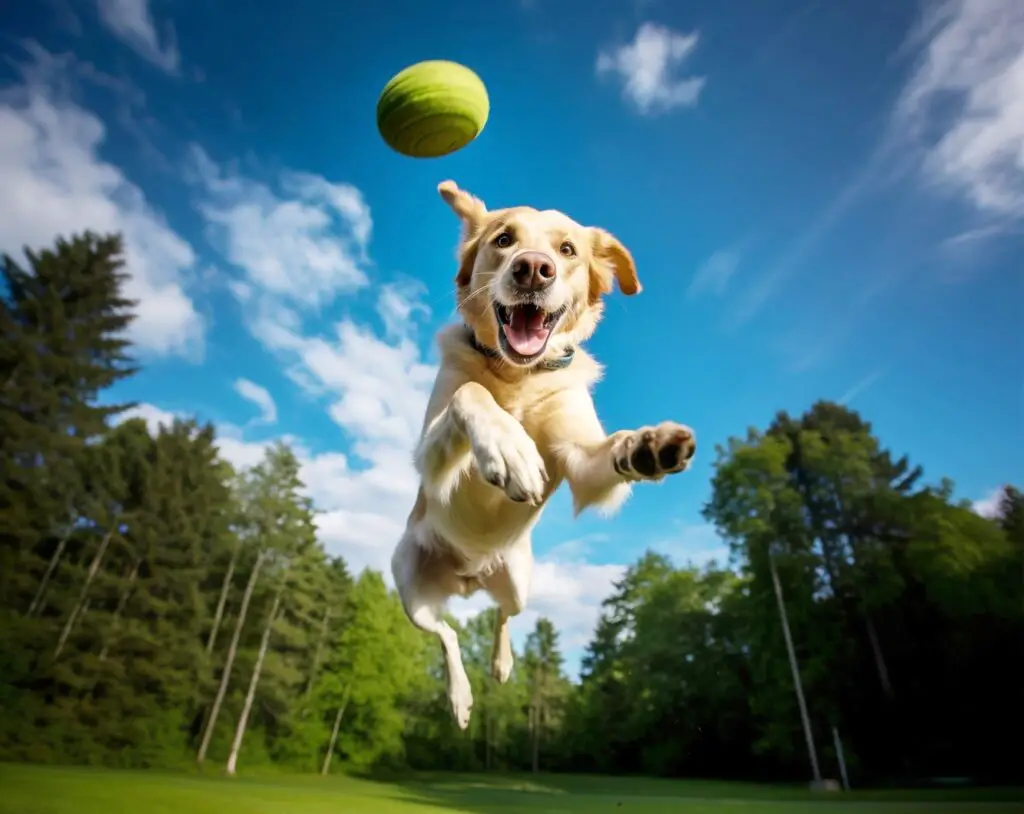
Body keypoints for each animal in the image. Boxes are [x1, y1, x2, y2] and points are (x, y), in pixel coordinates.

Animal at [391, 181, 696, 729]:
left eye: (567, 250)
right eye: (503, 239)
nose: (533, 268)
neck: (518, 375)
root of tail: (468, 577)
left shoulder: (582, 462)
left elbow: (606, 452)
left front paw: (644, 446)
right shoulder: (430, 460)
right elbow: (471, 393)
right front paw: (508, 446)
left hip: (518, 581)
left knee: (502, 616)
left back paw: (501, 664)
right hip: (407, 584)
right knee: (446, 634)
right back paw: (461, 696)